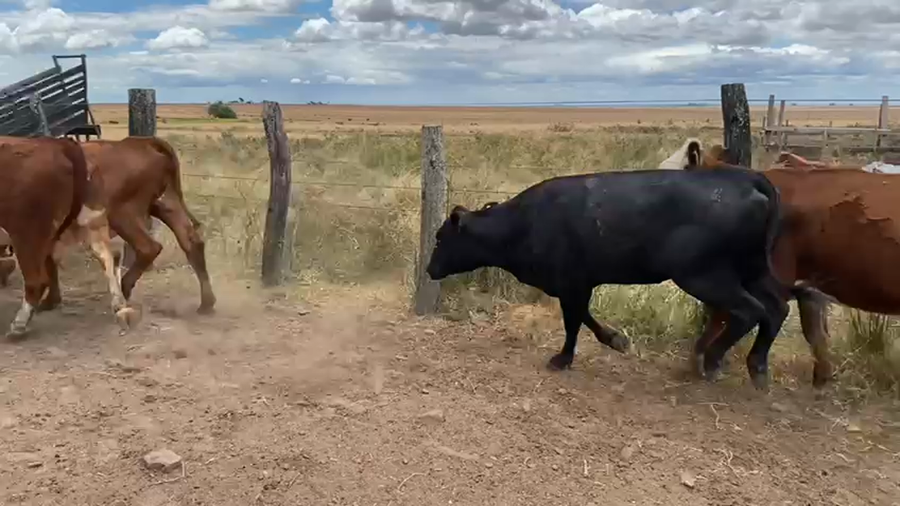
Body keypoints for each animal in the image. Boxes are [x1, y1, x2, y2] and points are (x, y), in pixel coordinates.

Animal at [0, 135, 128, 337]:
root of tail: (59, 144)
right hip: (90, 220)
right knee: (108, 257)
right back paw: (119, 304)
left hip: (26, 232)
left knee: (36, 280)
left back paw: (18, 326)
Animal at [1, 136, 217, 316]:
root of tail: (141, 142)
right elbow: (49, 261)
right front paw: (50, 301)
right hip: (165, 205)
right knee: (192, 243)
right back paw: (207, 303)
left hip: (122, 214)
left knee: (149, 247)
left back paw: (125, 288)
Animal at [425, 168, 789, 389]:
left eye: (440, 238)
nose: (429, 270)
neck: (523, 222)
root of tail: (743, 178)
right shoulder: (578, 283)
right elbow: (584, 317)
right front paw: (616, 340)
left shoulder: (571, 282)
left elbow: (573, 322)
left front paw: (562, 359)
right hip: (751, 270)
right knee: (777, 308)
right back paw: (757, 367)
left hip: (704, 274)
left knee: (750, 310)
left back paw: (713, 360)